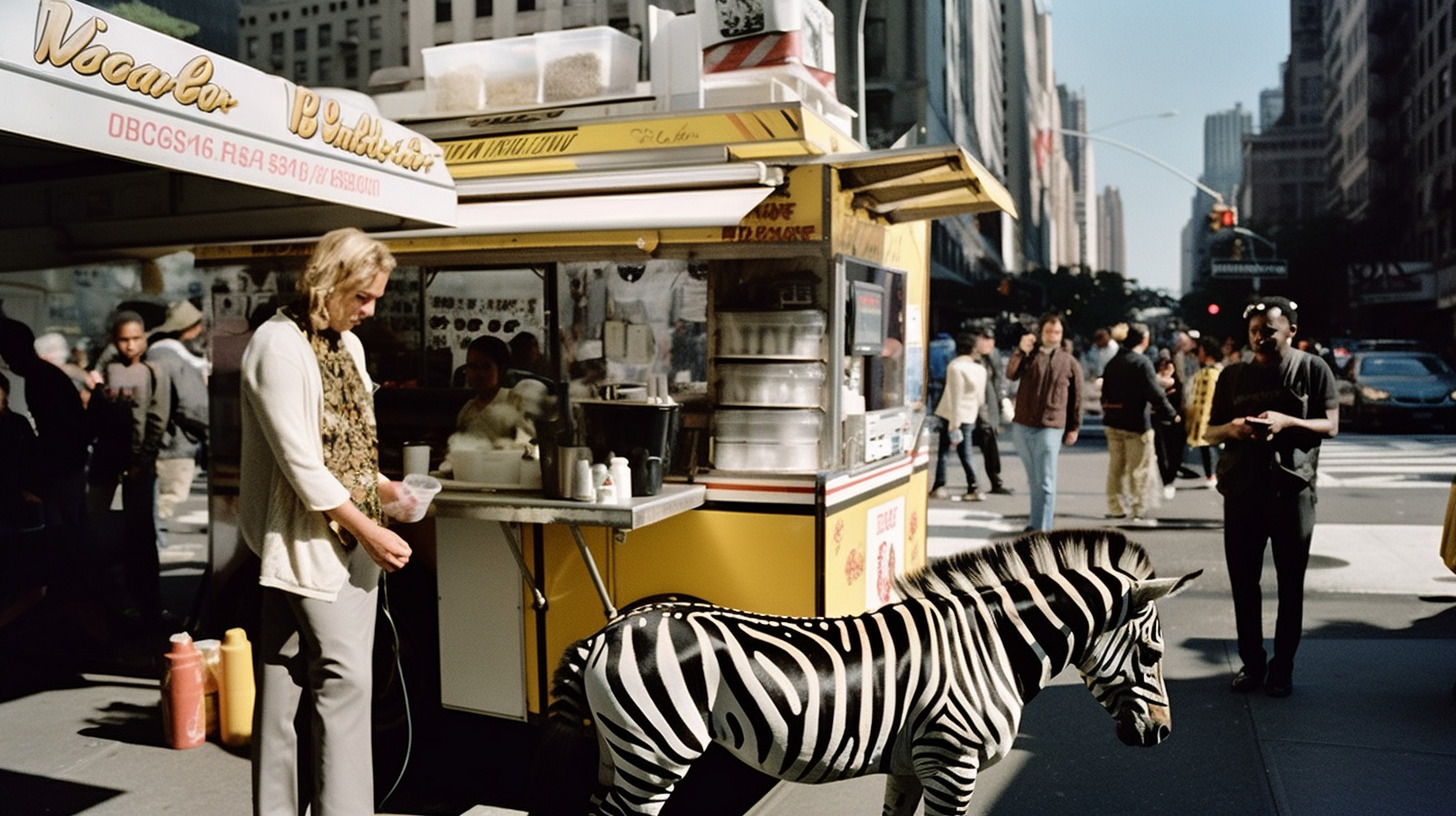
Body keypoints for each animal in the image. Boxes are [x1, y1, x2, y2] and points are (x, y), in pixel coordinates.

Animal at [529, 530, 1199, 816]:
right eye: (1153, 656)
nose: (1164, 734)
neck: (992, 648)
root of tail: (606, 631)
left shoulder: (910, 765)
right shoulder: (951, 764)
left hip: (621, 749)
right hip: (656, 755)